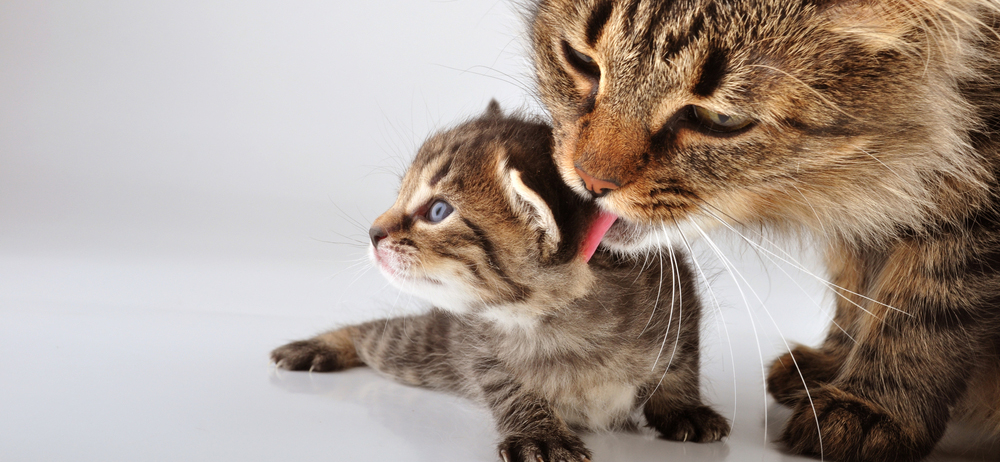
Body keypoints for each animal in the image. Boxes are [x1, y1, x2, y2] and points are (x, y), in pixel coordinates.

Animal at [270, 104, 732, 462]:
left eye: (438, 211)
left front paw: (683, 408)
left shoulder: (677, 295)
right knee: (373, 334)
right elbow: (508, 386)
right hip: (420, 351)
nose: (373, 232)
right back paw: (319, 346)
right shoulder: (480, 347)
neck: (558, 321)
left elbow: (681, 364)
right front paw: (539, 434)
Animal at [532, 0, 1000, 462]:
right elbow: (856, 280)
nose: (590, 180)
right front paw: (834, 362)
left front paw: (872, 407)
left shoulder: (971, 202)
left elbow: (923, 310)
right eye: (581, 61)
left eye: (718, 119)